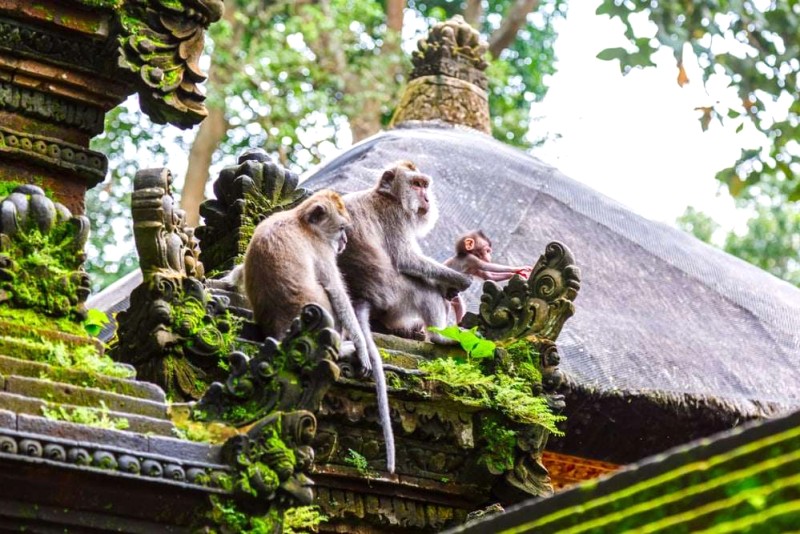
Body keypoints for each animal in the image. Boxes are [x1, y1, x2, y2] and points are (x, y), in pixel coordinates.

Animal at [242, 191, 396, 476]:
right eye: (342, 229)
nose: (344, 242)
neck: (300, 220)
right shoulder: (322, 250)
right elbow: (336, 292)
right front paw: (361, 348)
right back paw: (347, 347)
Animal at [340, 161, 476, 348]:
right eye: (416, 184)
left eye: (425, 185)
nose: (427, 199)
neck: (388, 196)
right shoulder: (394, 215)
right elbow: (406, 260)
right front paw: (459, 280)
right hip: (393, 300)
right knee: (425, 290)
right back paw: (440, 338)